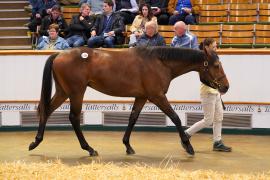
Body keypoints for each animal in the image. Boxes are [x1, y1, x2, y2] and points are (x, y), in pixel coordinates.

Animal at [29, 46, 228, 156]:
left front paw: (127, 146)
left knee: (47, 110)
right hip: (76, 92)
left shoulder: (142, 97)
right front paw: (188, 145)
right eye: (216, 65)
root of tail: (59, 54)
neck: (159, 62)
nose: (226, 86)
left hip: (63, 92)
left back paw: (36, 142)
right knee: (74, 117)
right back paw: (89, 148)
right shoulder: (157, 96)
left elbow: (133, 118)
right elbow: (175, 118)